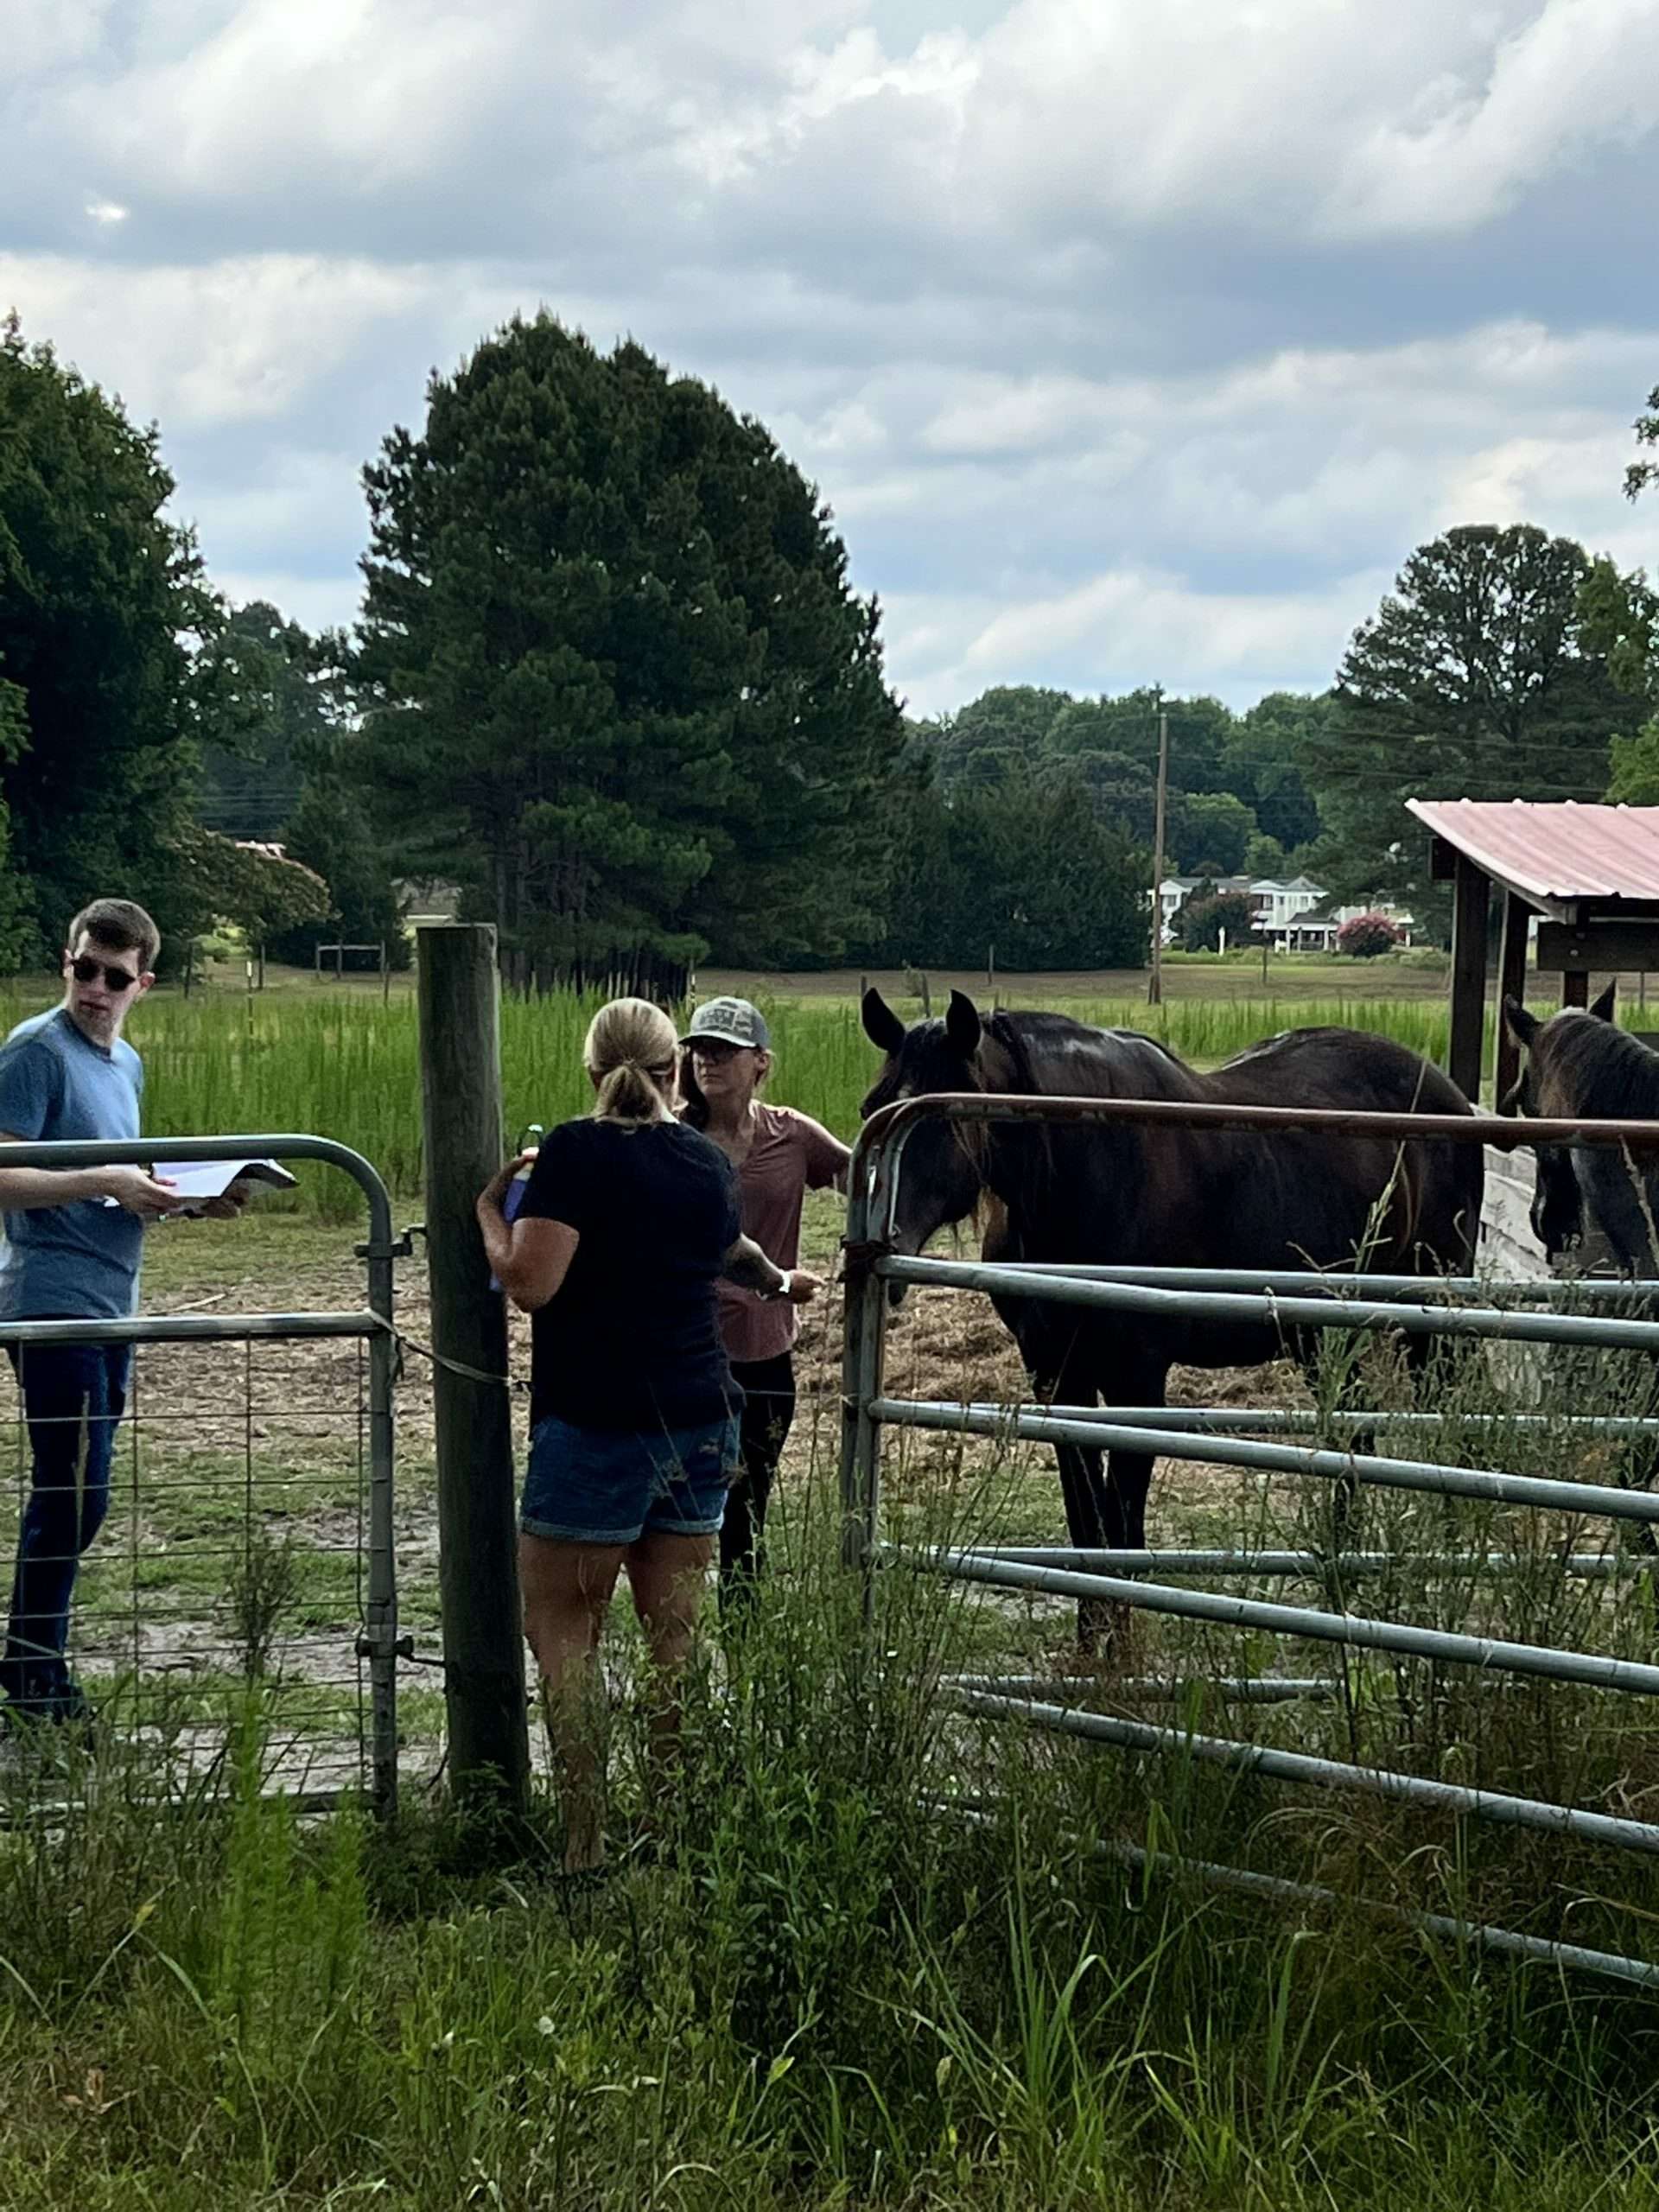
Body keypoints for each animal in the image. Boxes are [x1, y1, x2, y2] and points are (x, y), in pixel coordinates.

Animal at [860, 988, 1484, 1627]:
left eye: (946, 1117)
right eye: (874, 1105)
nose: (884, 1237)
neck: (1088, 1170)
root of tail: (1448, 1094)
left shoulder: (1137, 1380)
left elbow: (1121, 1533)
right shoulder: (1056, 1375)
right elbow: (1087, 1527)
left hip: (1433, 1318)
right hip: (1325, 1334)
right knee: (1355, 1435)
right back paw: (1340, 1573)